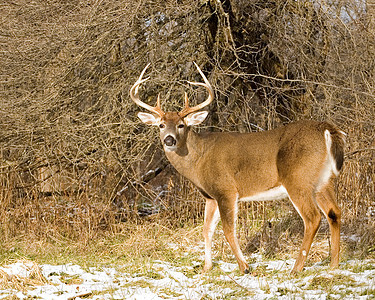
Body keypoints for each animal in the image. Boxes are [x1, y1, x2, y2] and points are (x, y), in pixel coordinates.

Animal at [130, 63, 346, 274]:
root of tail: (326, 129)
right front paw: (207, 268)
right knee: (334, 212)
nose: (169, 140)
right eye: (161, 125)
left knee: (312, 218)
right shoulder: (210, 196)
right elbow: (207, 229)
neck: (199, 160)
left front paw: (244, 267)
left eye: (181, 125)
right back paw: (334, 265)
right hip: (323, 180)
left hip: (298, 179)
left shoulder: (226, 190)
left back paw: (296, 269)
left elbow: (228, 230)